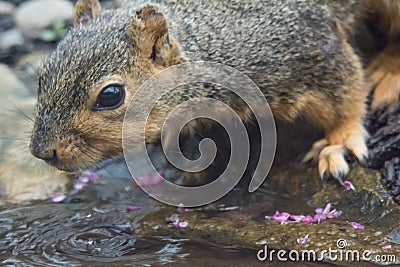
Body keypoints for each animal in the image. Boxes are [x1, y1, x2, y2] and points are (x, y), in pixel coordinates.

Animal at [29, 0, 400, 184]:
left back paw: (388, 72)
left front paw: (340, 141)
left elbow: (345, 93)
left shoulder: (308, 48)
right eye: (42, 75)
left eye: (111, 96)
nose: (42, 152)